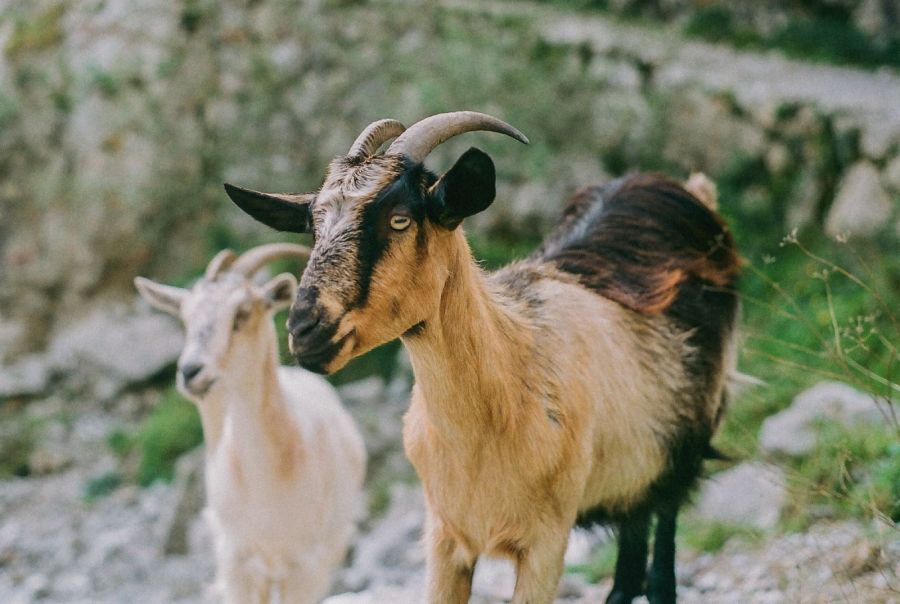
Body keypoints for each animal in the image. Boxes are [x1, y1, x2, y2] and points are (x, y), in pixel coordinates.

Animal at [224, 112, 741, 604]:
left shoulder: (546, 544)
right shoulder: (444, 539)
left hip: (682, 448)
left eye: (400, 219)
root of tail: (683, 189)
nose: (304, 328)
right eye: (313, 226)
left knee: (661, 554)